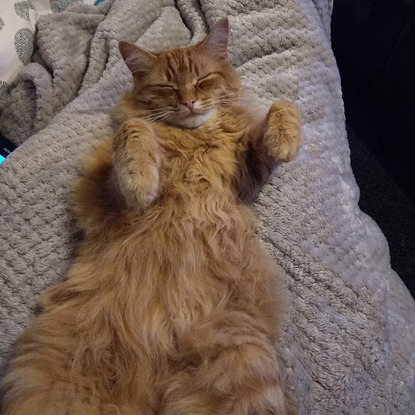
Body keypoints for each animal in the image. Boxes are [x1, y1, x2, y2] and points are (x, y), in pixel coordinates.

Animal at [2, 18, 302, 415]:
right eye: (167, 87)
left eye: (203, 80)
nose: (189, 102)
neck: (193, 138)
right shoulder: (110, 200)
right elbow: (136, 131)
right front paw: (141, 176)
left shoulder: (247, 175)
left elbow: (282, 106)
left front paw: (285, 137)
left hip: (240, 364)